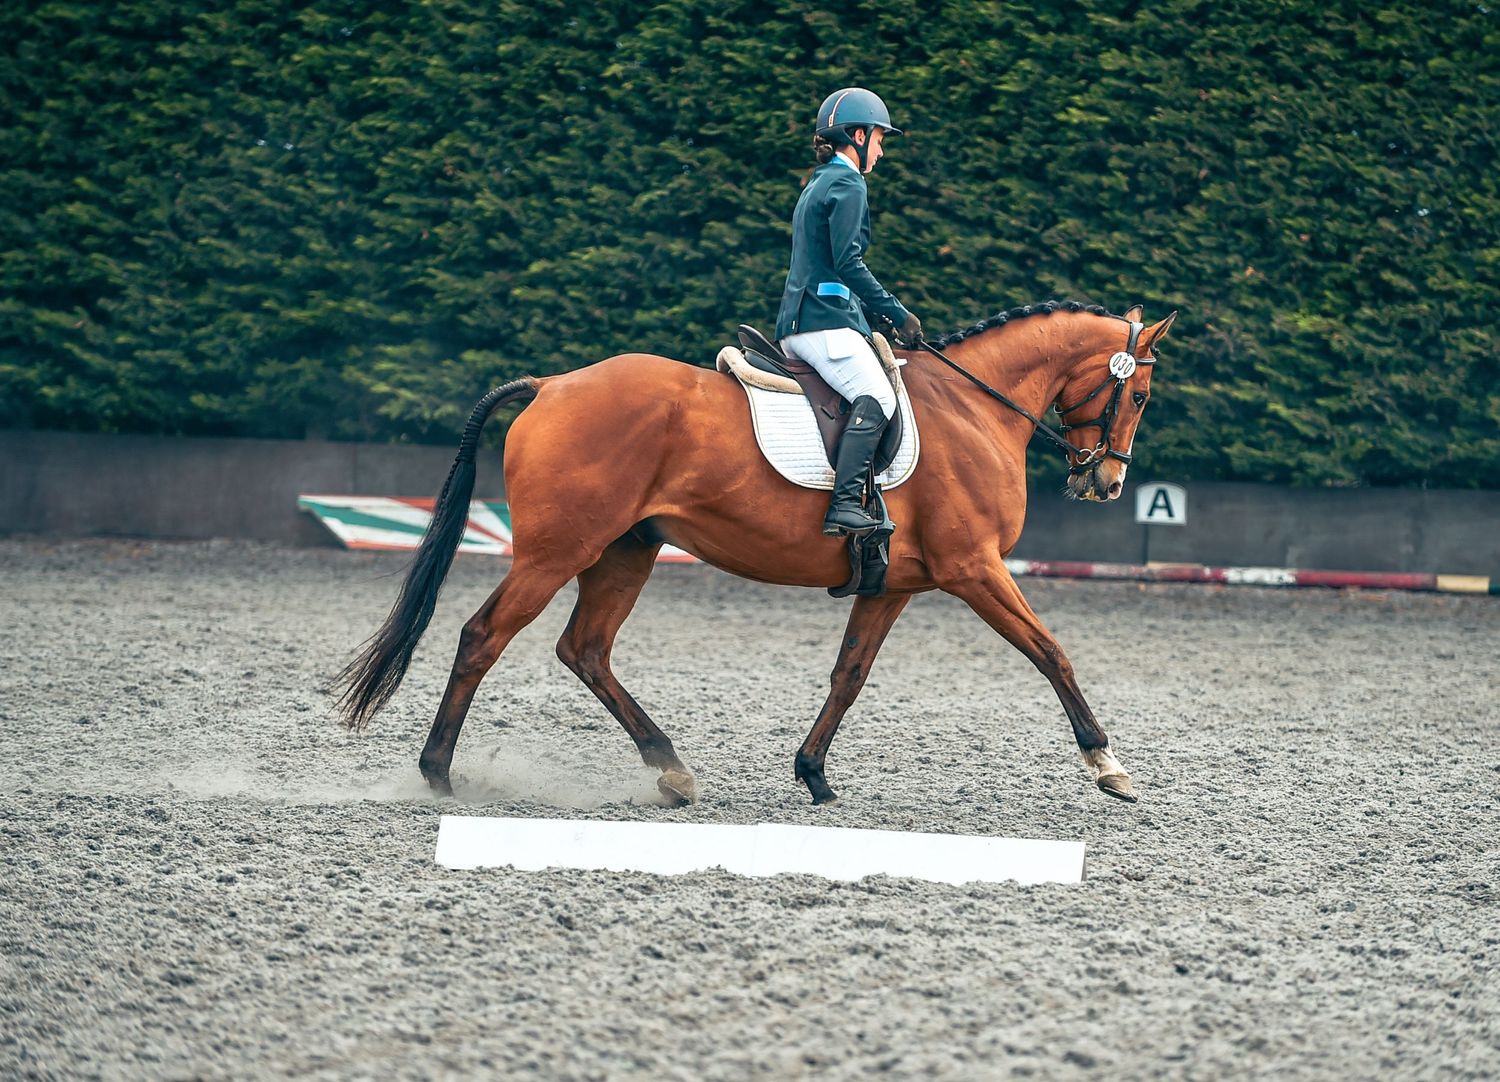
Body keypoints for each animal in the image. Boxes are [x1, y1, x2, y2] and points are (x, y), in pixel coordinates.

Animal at [335, 299, 1176, 806]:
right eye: (1137, 396)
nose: (1105, 481)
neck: (973, 409)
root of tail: (551, 385)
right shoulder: (976, 570)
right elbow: (1051, 652)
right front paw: (1109, 766)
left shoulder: (895, 584)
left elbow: (848, 676)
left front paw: (814, 775)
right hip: (556, 552)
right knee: (484, 637)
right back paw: (437, 775)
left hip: (624, 552)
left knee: (586, 650)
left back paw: (671, 769)